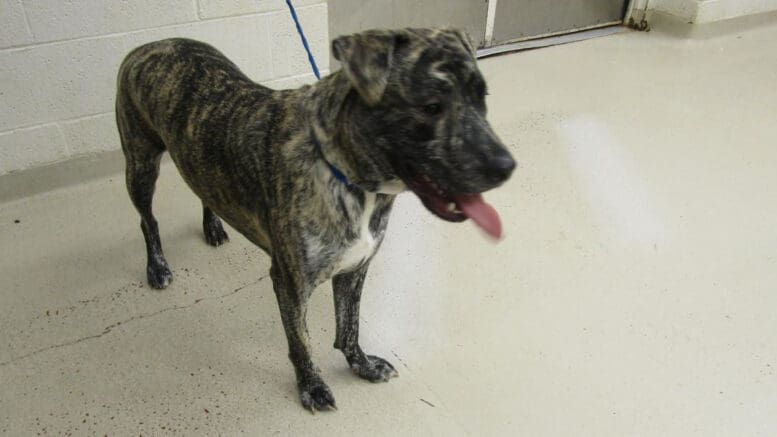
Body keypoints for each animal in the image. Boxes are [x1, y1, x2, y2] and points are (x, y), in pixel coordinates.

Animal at [115, 29, 512, 410]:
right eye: (430, 106)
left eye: (482, 99)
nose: (507, 166)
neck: (345, 174)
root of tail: (149, 44)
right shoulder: (290, 283)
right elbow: (300, 341)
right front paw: (311, 385)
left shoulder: (354, 269)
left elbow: (349, 326)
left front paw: (362, 365)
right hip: (140, 163)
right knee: (147, 221)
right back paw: (157, 266)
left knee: (202, 189)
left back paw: (212, 226)